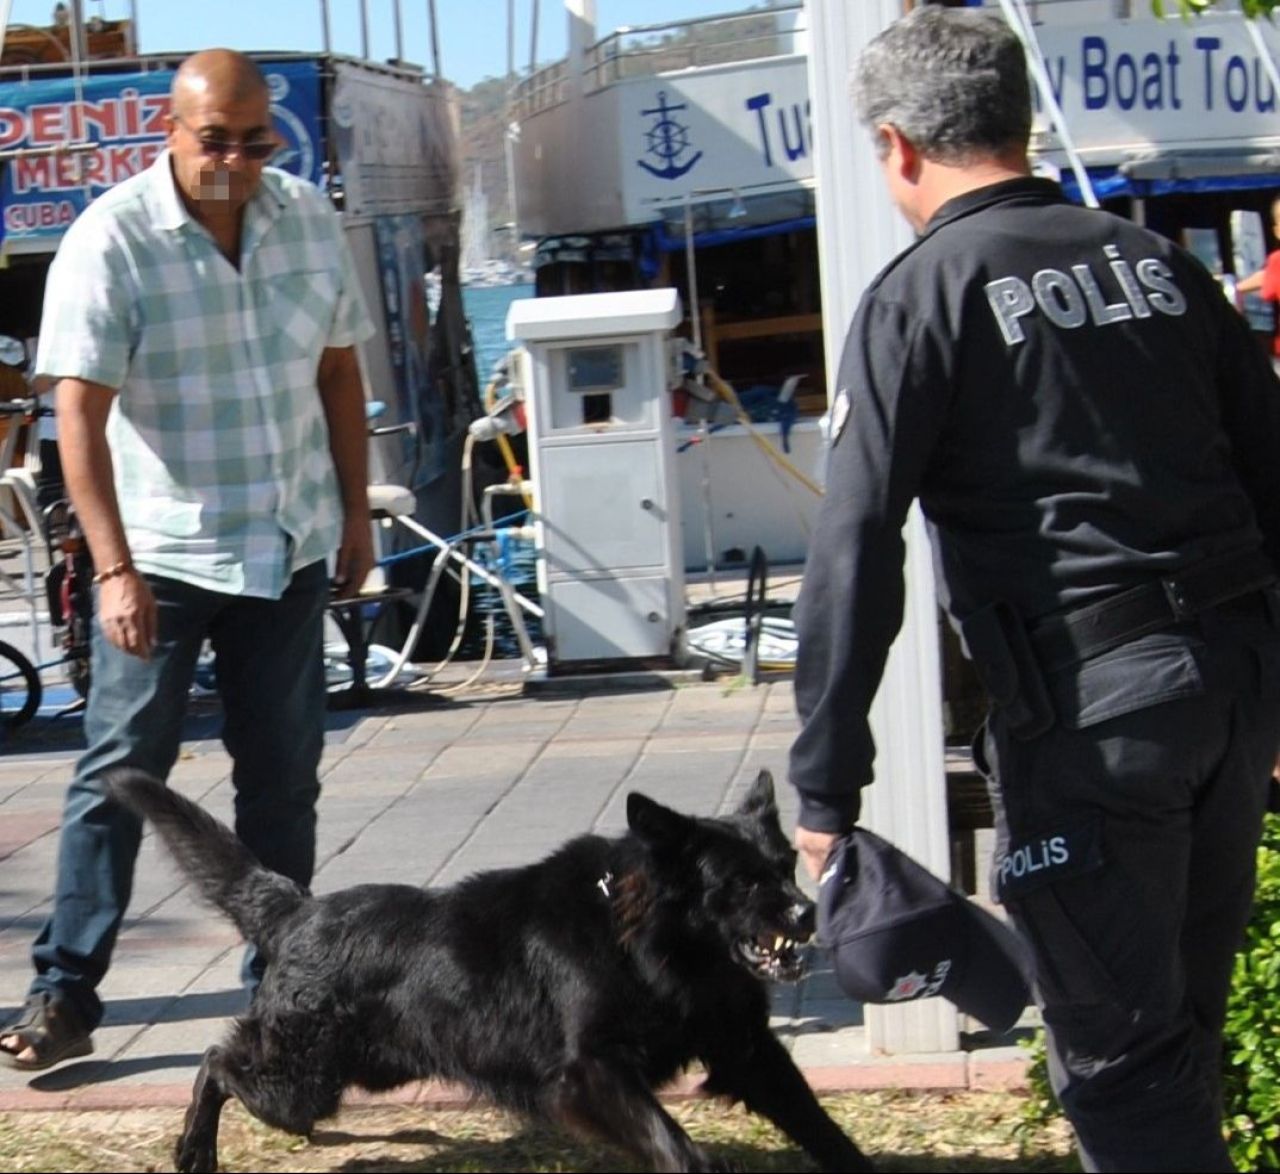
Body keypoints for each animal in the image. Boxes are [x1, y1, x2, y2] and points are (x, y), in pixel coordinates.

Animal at [110, 763, 875, 1167]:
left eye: (785, 866)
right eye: (742, 883)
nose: (808, 914)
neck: (646, 945)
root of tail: (297, 909)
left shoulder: (746, 1050)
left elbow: (819, 1124)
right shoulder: (591, 1073)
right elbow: (675, 1143)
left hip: (360, 1071)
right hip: (302, 1084)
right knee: (216, 1060)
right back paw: (194, 1149)